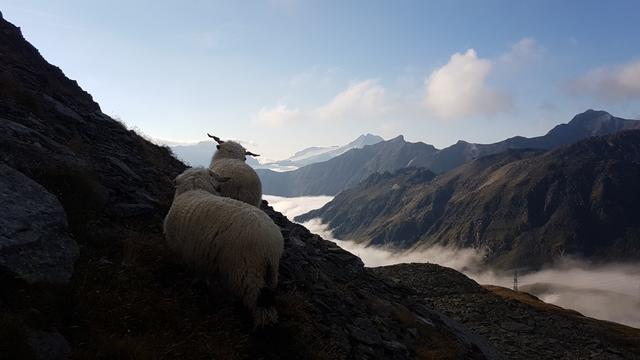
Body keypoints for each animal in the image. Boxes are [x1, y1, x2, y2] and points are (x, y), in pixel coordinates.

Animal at [164, 167, 284, 328]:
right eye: (218, 188)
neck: (195, 189)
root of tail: (271, 244)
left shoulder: (190, 254)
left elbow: (199, 274)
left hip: (246, 273)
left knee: (260, 308)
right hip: (270, 275)